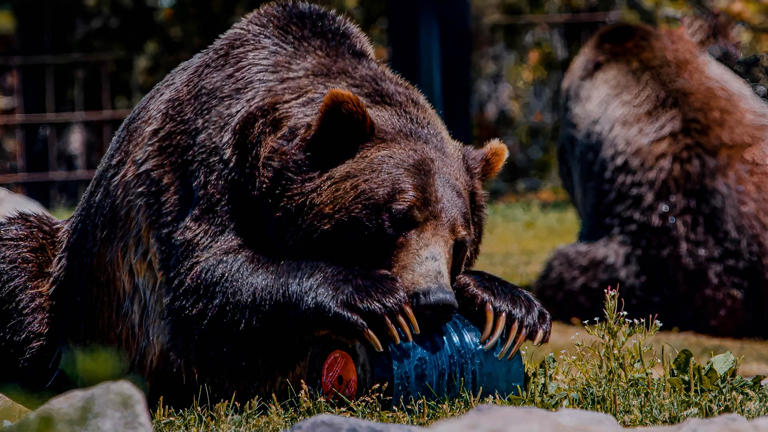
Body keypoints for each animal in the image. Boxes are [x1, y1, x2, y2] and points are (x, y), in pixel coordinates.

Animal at [0, 2, 550, 404]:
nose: (434, 300)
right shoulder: (204, 162)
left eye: (461, 239)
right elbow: (208, 275)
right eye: (398, 216)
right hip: (77, 298)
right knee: (21, 263)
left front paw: (508, 304)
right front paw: (372, 296)